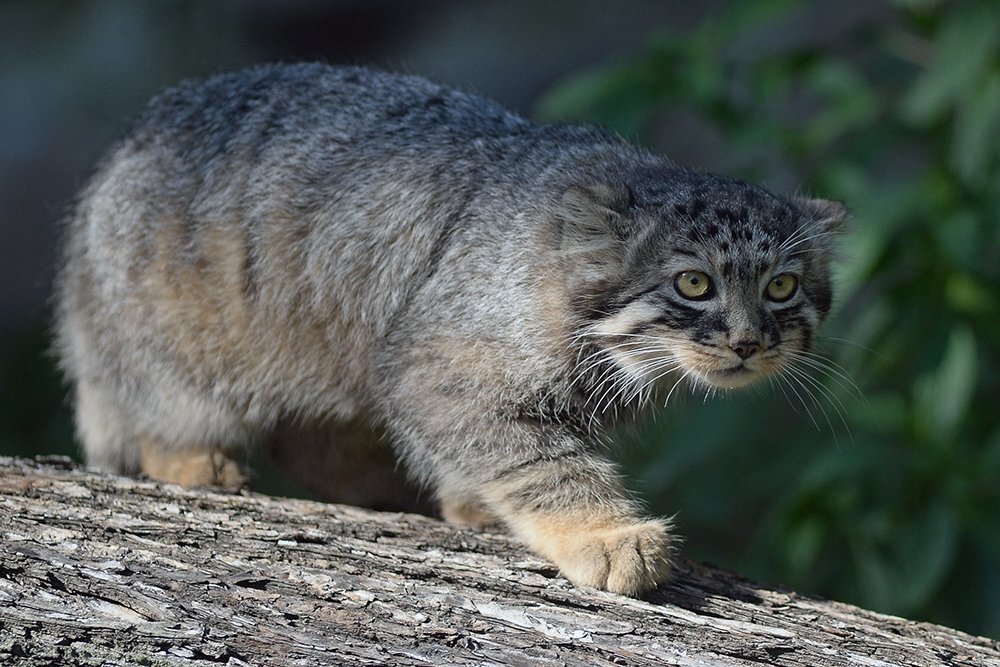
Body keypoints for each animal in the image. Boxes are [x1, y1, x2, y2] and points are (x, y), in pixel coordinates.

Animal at [56, 62, 844, 596]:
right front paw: (604, 532)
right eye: (693, 284)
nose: (749, 341)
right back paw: (192, 457)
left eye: (780, 287)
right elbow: (541, 460)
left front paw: (472, 503)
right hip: (177, 340)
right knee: (154, 405)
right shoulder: (435, 367)